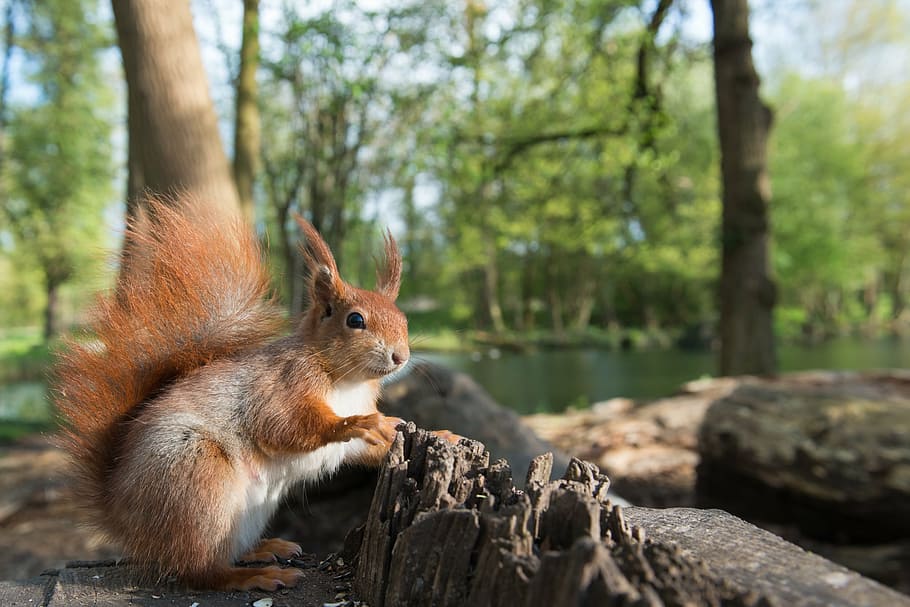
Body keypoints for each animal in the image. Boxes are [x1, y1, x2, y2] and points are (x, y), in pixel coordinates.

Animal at [53, 195, 416, 591]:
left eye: (404, 320)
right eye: (355, 320)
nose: (401, 356)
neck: (348, 382)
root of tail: (123, 518)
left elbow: (364, 451)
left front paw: (433, 432)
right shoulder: (281, 385)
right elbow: (283, 426)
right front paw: (358, 422)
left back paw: (262, 550)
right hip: (197, 480)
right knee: (199, 570)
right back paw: (253, 576)